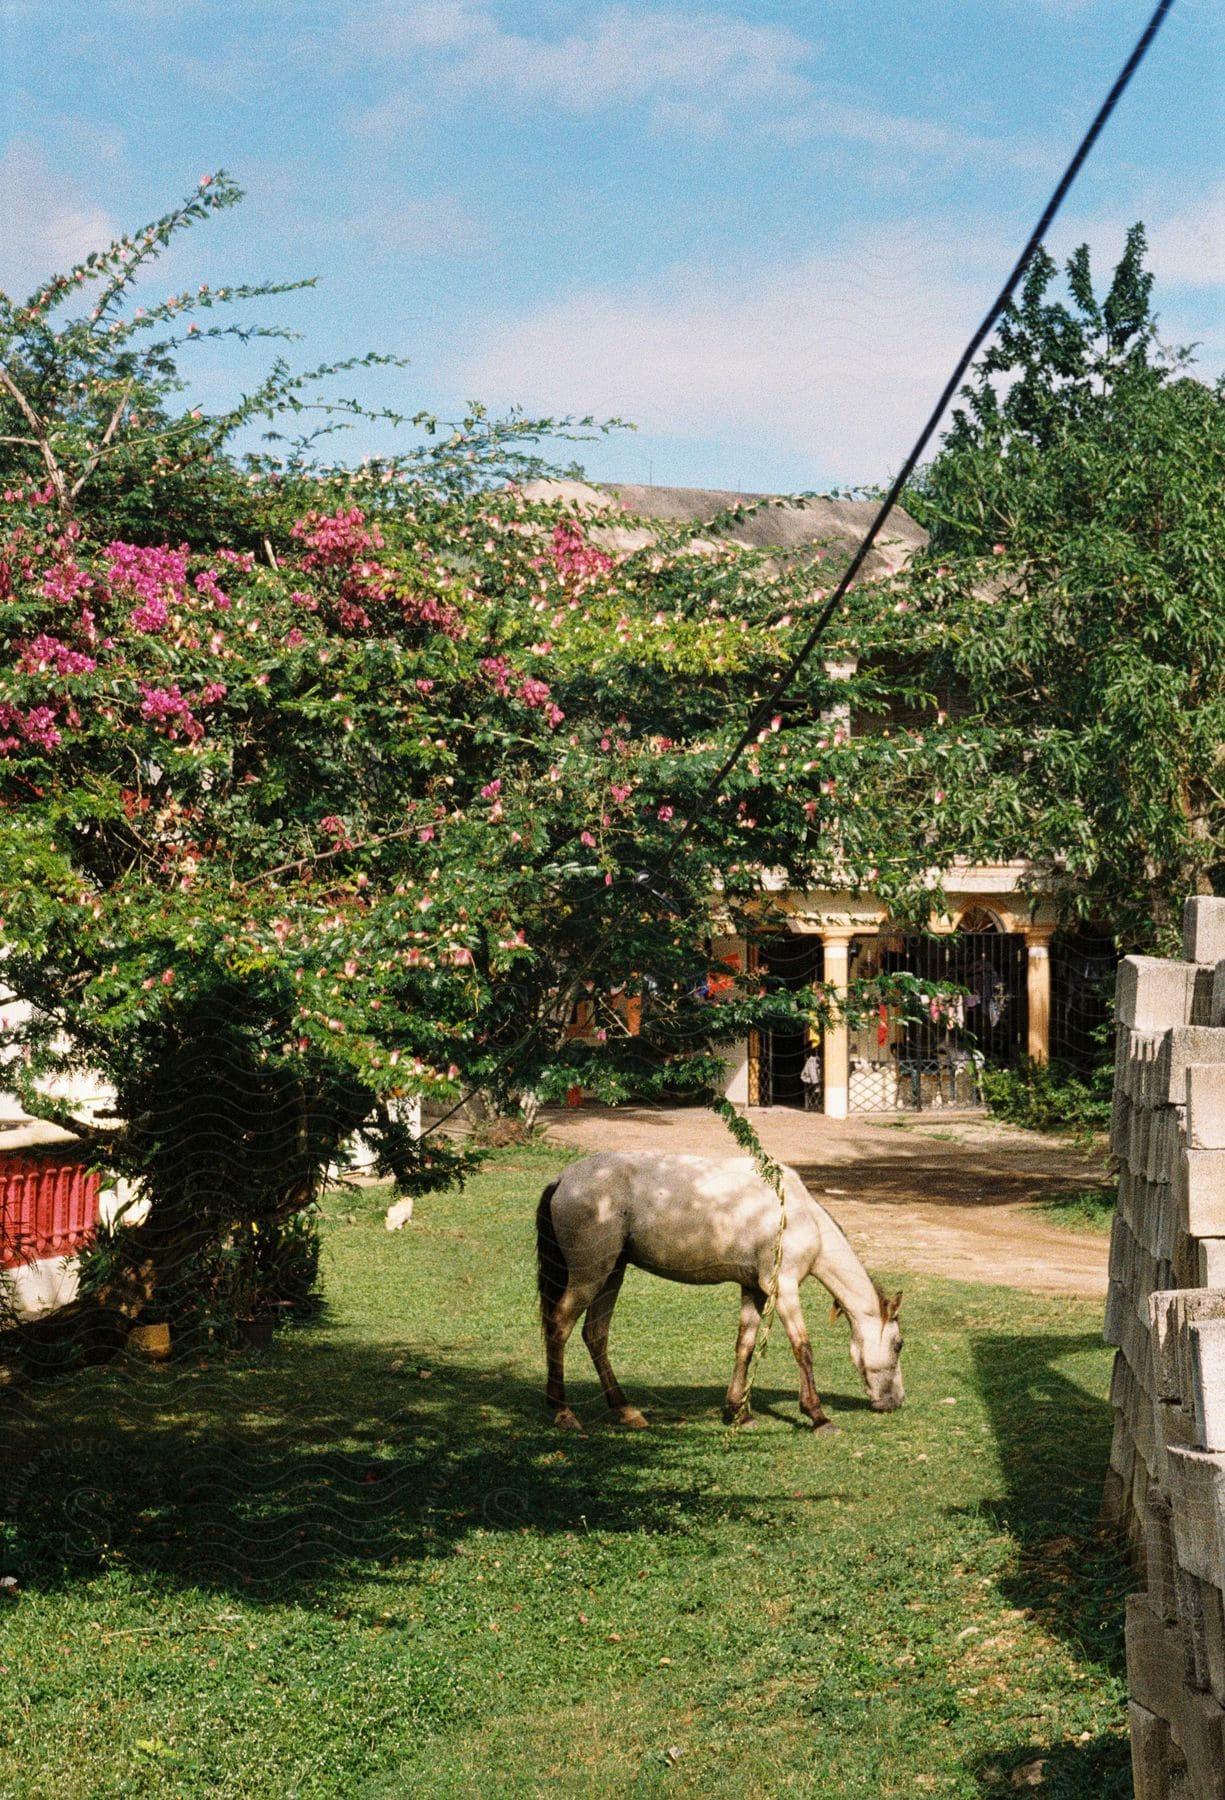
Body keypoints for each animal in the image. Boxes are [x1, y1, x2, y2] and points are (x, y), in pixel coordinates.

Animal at [532, 1152, 899, 1432]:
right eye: (899, 1344)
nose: (895, 1401)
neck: (799, 1213)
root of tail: (563, 1179)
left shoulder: (754, 1290)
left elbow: (744, 1347)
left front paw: (739, 1412)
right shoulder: (784, 1290)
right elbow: (803, 1349)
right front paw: (818, 1416)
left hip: (611, 1274)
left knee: (595, 1334)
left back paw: (626, 1410)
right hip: (589, 1276)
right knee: (559, 1327)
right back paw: (563, 1412)